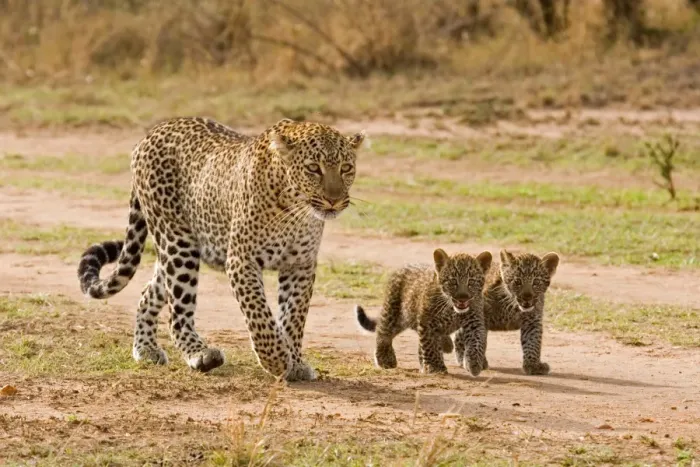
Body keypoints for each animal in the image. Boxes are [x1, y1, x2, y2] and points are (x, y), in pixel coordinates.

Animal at [77, 117, 366, 381]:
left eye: (346, 168)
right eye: (313, 168)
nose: (334, 200)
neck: (294, 210)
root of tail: (150, 133)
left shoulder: (301, 265)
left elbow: (294, 317)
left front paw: (294, 361)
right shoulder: (241, 260)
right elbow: (260, 316)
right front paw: (276, 360)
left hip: (178, 249)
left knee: (149, 293)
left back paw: (146, 349)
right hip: (177, 243)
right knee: (177, 314)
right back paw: (200, 354)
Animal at [355, 248, 492, 376]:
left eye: (471, 281)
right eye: (453, 281)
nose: (462, 297)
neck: (452, 308)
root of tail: (404, 267)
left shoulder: (474, 321)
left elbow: (477, 342)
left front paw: (474, 364)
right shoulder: (427, 322)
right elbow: (430, 345)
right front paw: (434, 367)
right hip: (394, 312)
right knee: (383, 331)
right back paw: (385, 359)